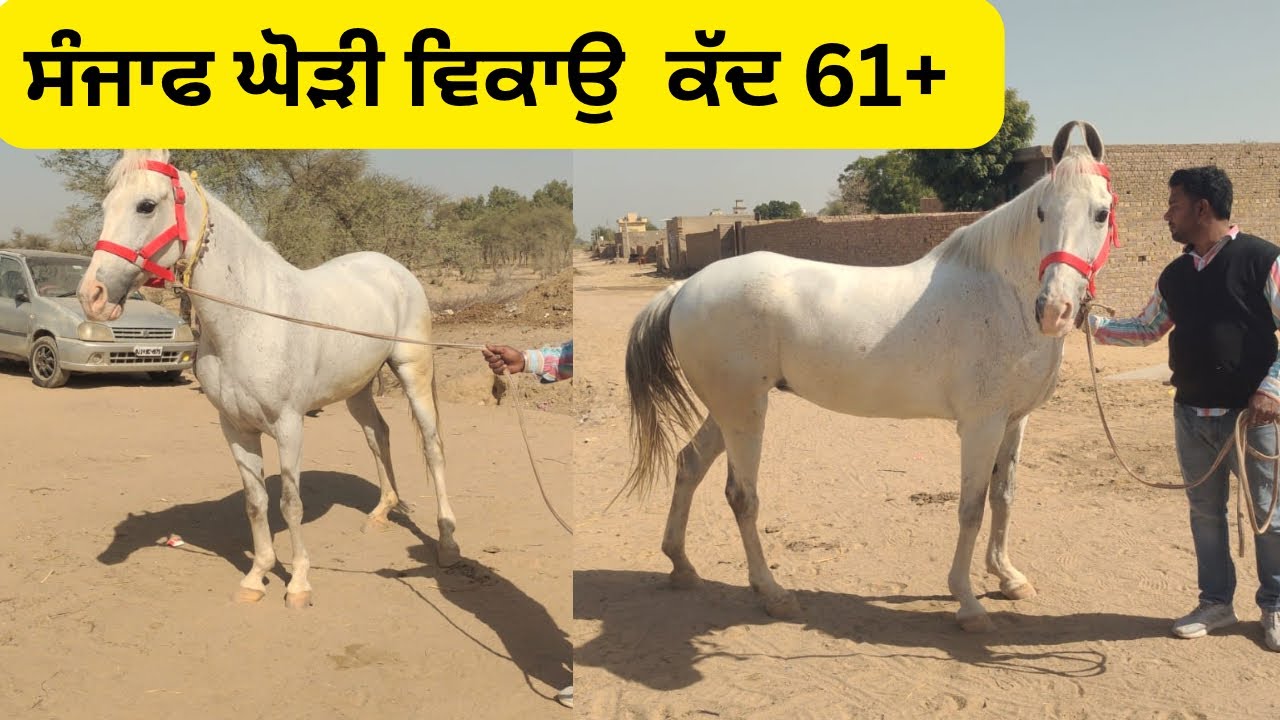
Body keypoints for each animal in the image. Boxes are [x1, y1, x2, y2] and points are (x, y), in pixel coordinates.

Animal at [77, 149, 460, 608]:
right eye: (104, 206)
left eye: (146, 206)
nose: (92, 296)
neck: (249, 318)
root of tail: (393, 269)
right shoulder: (235, 427)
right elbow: (256, 502)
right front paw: (257, 576)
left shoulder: (289, 425)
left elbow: (290, 503)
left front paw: (298, 584)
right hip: (358, 388)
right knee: (377, 435)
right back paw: (383, 511)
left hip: (413, 372)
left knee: (433, 448)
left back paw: (447, 545)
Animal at [622, 121, 1119, 632]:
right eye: (1041, 212)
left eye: (1102, 213)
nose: (1054, 310)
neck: (999, 295)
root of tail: (684, 288)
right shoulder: (980, 426)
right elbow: (971, 509)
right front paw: (967, 602)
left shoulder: (1014, 420)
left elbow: (1003, 496)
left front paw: (1008, 578)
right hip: (744, 412)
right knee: (742, 496)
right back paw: (772, 593)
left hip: (727, 411)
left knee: (688, 465)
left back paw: (682, 566)